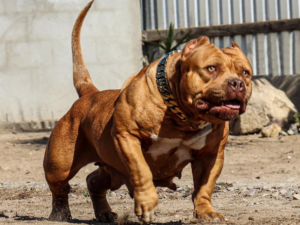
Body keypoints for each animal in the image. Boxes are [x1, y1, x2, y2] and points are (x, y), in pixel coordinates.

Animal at [42, 1, 253, 223]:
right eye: (211, 68)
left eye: (245, 73)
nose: (237, 83)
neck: (182, 117)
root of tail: (90, 94)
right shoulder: (127, 137)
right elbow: (141, 171)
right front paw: (147, 204)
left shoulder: (211, 155)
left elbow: (204, 186)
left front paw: (206, 212)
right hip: (59, 166)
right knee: (60, 187)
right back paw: (60, 215)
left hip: (112, 171)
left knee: (93, 180)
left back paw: (105, 213)